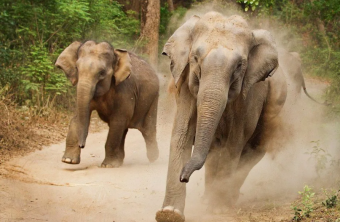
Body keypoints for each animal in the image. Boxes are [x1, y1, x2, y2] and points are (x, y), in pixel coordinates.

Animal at [156, 12, 286, 222]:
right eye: (195, 58)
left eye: (239, 65)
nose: (184, 177)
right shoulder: (186, 83)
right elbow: (182, 134)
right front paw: (169, 214)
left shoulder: (247, 96)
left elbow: (234, 141)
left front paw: (217, 209)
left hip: (275, 103)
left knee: (253, 149)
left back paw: (225, 200)